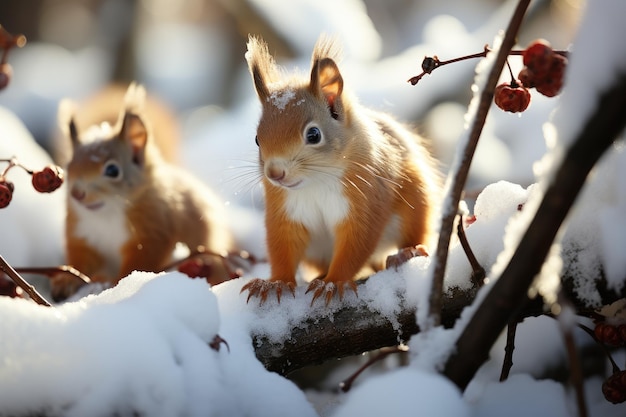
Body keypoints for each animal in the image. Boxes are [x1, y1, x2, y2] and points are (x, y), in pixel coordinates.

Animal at [52, 83, 233, 300]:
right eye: (68, 167)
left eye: (113, 170)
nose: (77, 194)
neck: (107, 214)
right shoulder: (82, 235)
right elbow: (81, 262)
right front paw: (65, 280)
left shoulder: (153, 230)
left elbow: (139, 263)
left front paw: (115, 284)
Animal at [241, 34, 442, 304]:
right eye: (256, 139)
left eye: (313, 135)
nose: (275, 174)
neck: (315, 182)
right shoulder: (285, 210)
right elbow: (283, 245)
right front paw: (276, 283)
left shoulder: (366, 198)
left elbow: (356, 243)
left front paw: (333, 283)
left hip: (416, 200)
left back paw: (406, 253)